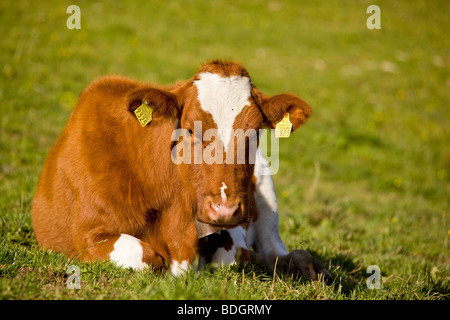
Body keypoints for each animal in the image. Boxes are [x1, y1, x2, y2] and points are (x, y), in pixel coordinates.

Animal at [31, 59, 332, 282]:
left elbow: (233, 254)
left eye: (255, 132)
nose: (225, 209)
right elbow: (146, 257)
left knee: (274, 249)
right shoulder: (86, 235)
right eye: (189, 129)